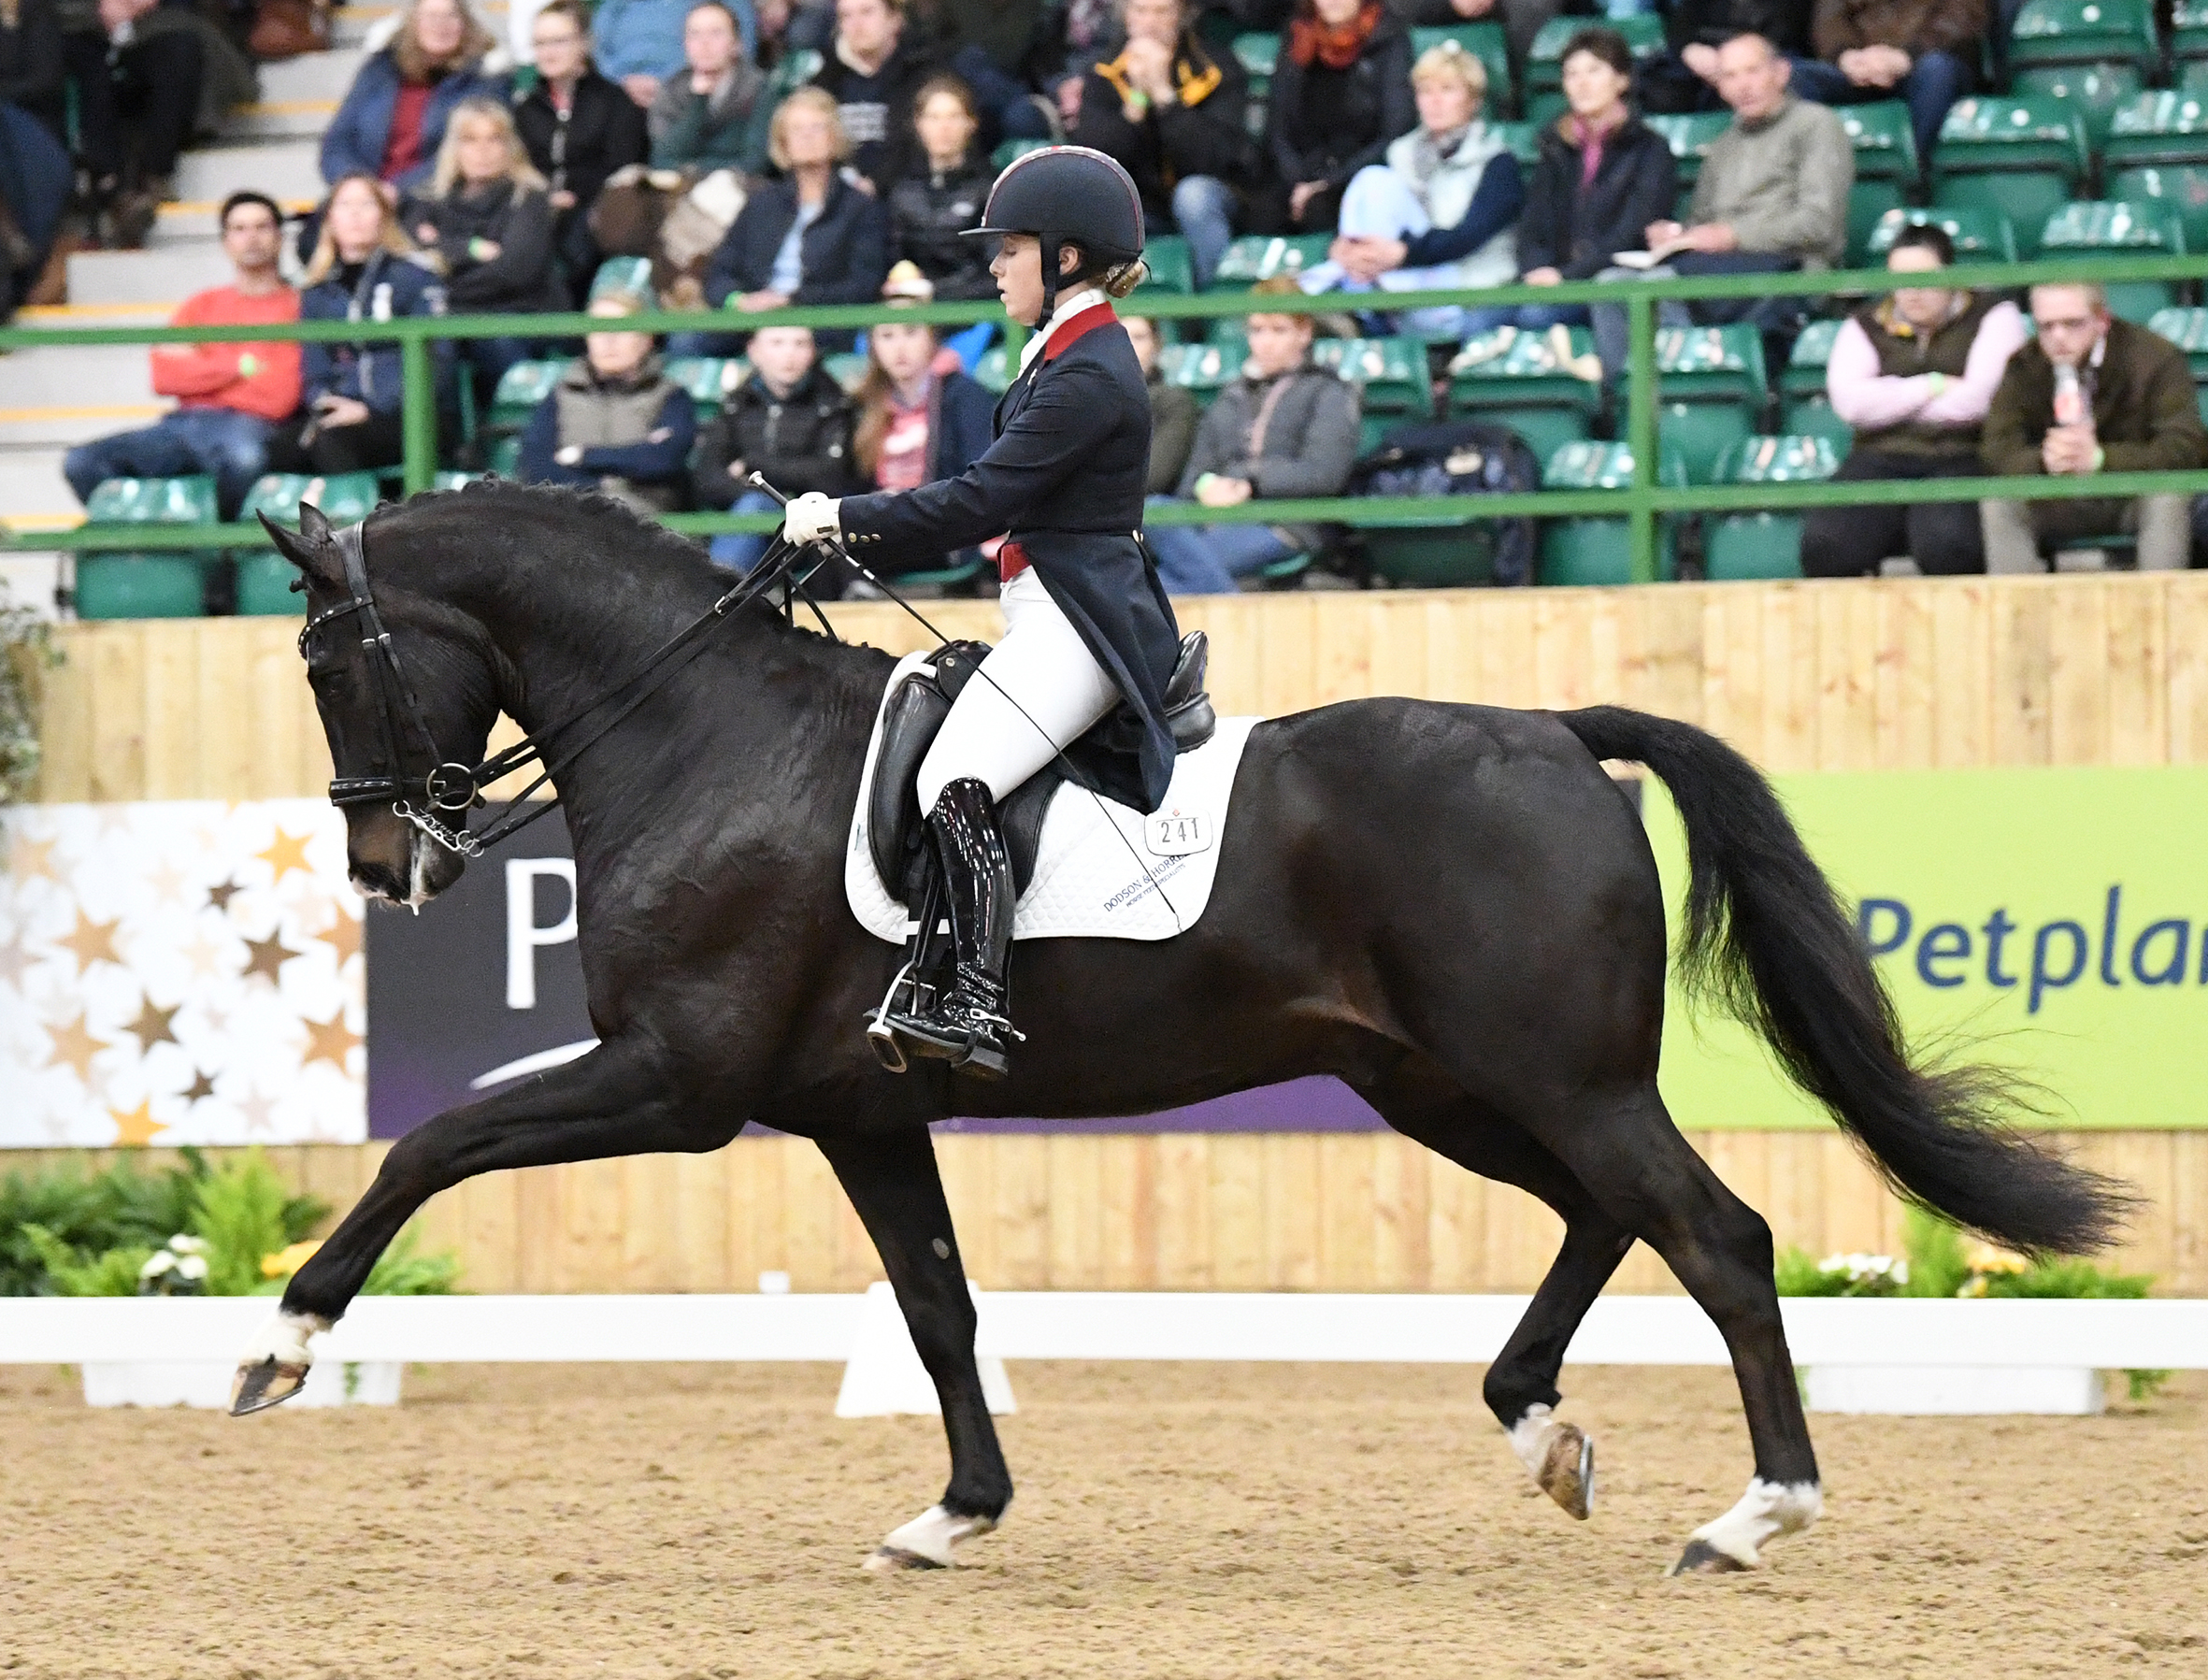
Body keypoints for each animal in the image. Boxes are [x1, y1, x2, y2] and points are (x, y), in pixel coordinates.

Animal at [233, 481, 2128, 1572]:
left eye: (328, 662)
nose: (392, 864)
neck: (701, 735)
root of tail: (1551, 731)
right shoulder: (861, 1111)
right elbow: (936, 1309)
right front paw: (955, 1513)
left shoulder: (677, 1081)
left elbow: (431, 1140)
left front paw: (286, 1342)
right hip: (1443, 1081)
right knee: (1611, 1217)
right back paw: (1540, 1429)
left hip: (1552, 1074)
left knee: (1716, 1236)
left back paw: (1755, 1515)